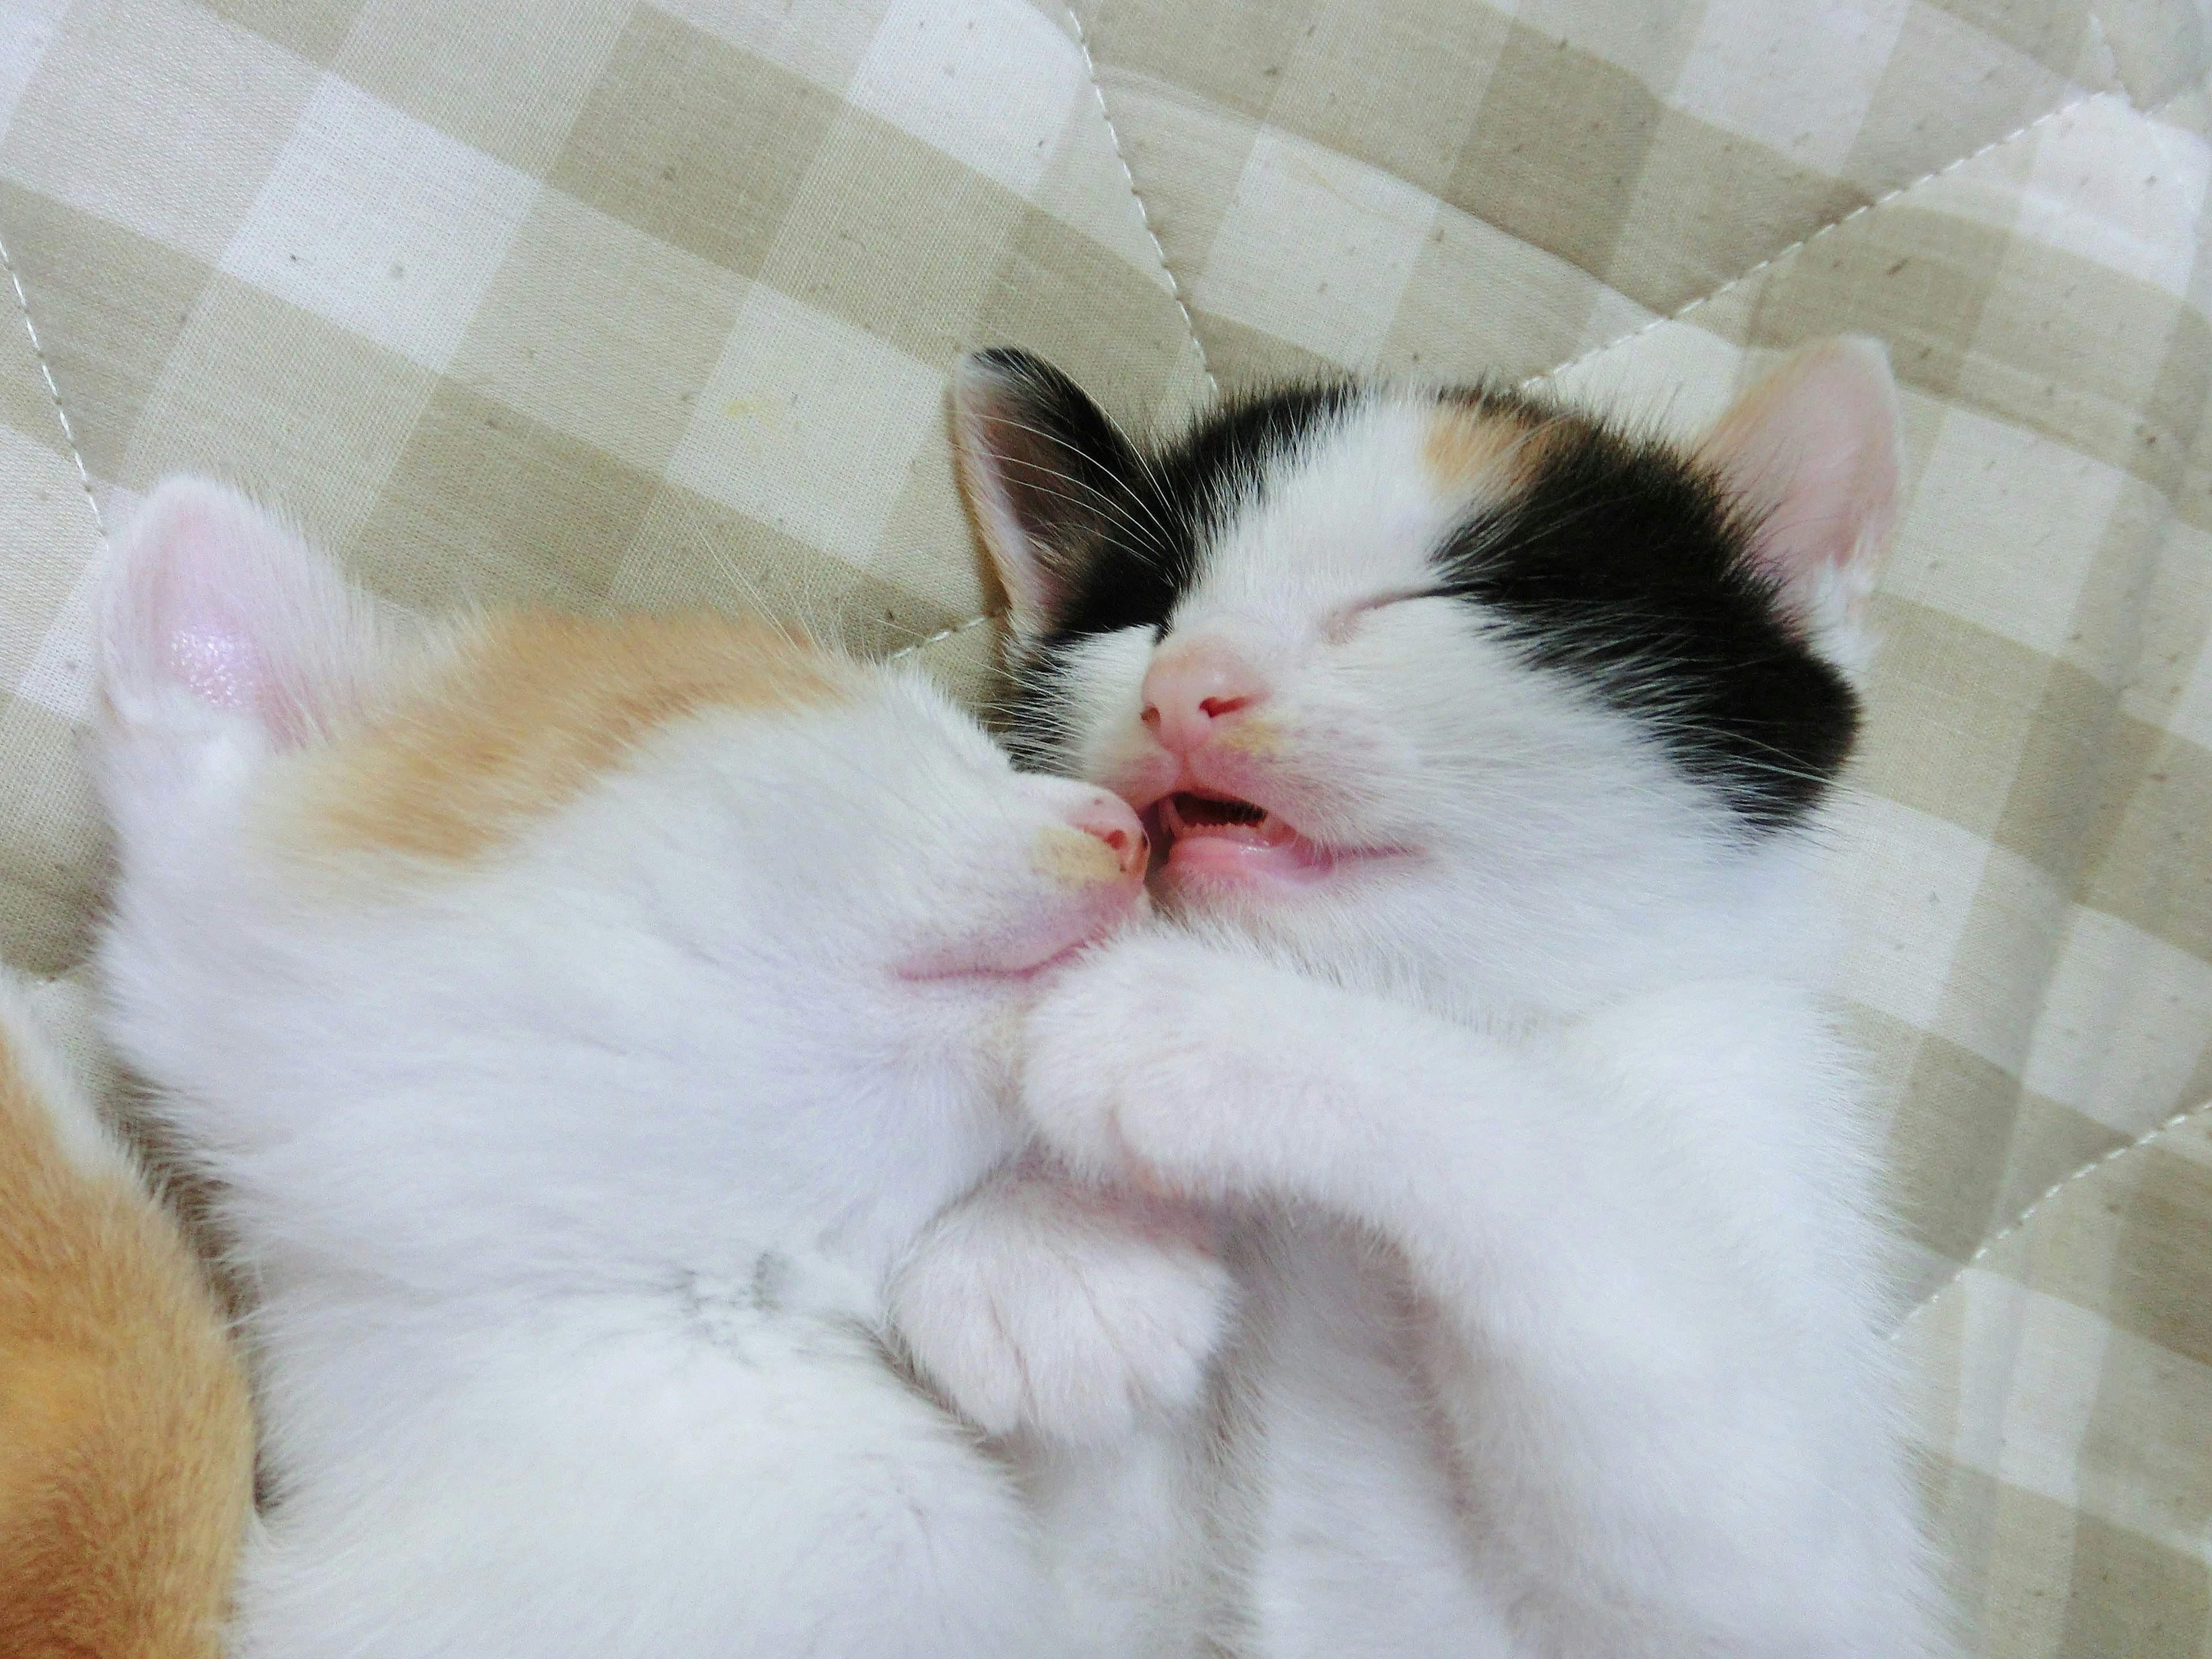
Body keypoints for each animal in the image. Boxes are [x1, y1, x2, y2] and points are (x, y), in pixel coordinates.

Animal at [942, 347, 1946, 1659]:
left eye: (1428, 600)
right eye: (1145, 610)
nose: (1185, 683)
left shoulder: (1744, 1096)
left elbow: (1565, 1186)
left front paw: (1200, 1028)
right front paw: (1045, 1240)